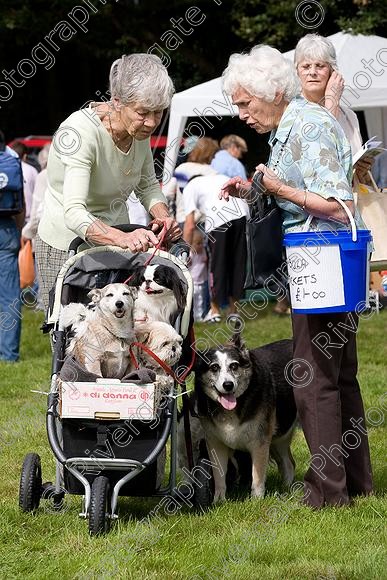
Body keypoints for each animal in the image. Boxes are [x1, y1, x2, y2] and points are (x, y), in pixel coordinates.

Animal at [193, 330, 298, 502]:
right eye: (214, 367)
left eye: (234, 366)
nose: (228, 385)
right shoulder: (215, 443)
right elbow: (219, 476)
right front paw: (218, 501)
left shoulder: (260, 443)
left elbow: (257, 477)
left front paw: (256, 501)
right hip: (278, 438)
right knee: (288, 464)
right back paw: (286, 490)